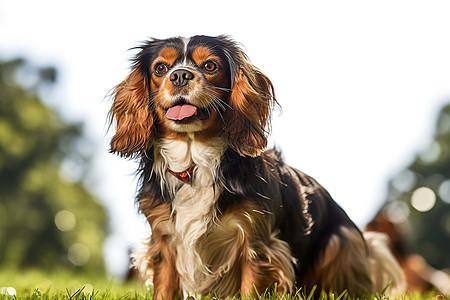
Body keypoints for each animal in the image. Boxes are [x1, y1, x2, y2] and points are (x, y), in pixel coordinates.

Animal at [108, 34, 404, 298]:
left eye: (210, 66)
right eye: (160, 68)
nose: (180, 75)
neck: (196, 161)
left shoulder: (256, 244)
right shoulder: (165, 242)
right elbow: (165, 288)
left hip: (340, 243)